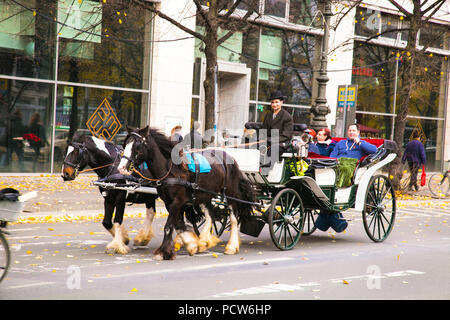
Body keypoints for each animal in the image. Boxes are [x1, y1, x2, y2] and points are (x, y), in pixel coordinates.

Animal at [118, 125, 255, 260]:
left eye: (137, 146)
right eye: (126, 144)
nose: (121, 168)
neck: (172, 169)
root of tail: (230, 158)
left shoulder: (177, 202)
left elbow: (168, 227)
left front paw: (163, 252)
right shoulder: (169, 202)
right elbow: (178, 225)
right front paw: (192, 244)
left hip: (230, 195)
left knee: (233, 218)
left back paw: (231, 246)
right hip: (205, 195)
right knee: (210, 216)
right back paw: (204, 242)